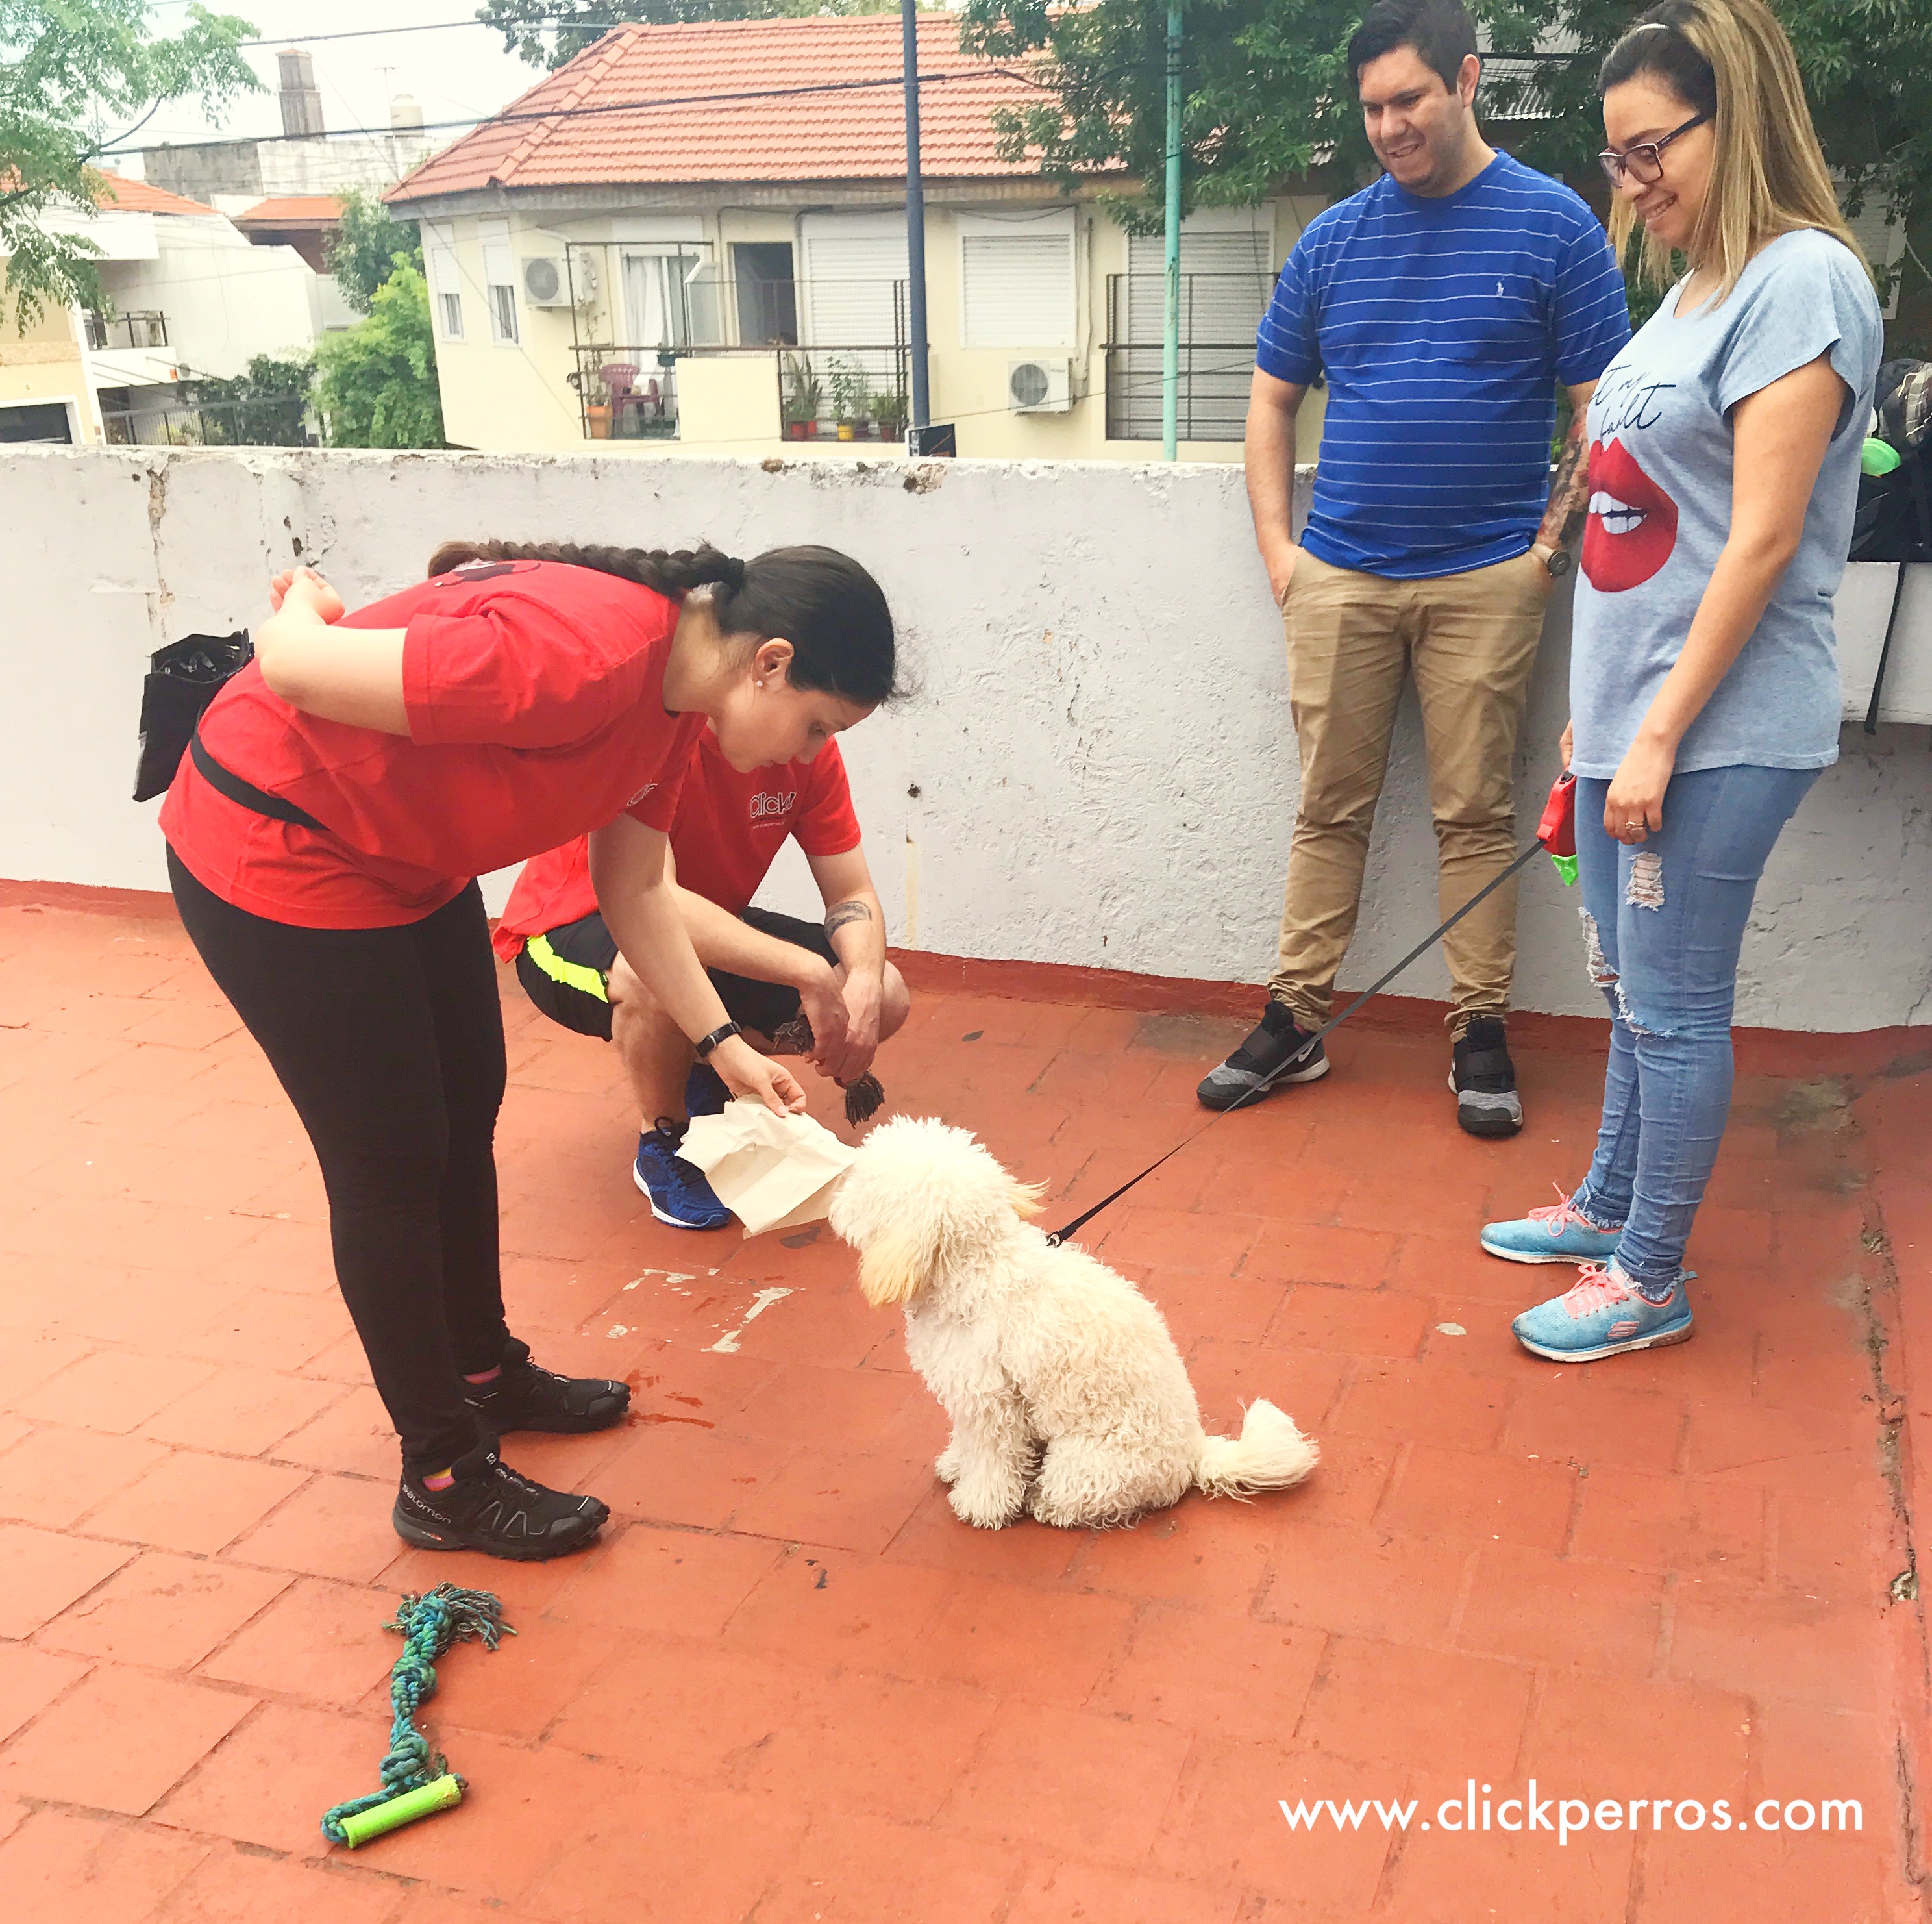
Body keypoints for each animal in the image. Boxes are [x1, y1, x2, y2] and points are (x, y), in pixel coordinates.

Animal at [823, 1112, 1321, 1530]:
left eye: (863, 1186)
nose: (833, 1205)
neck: (979, 1267)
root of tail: (1193, 1451)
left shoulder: (991, 1402)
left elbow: (991, 1461)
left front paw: (980, 1504)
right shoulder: (968, 1399)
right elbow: (966, 1442)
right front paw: (955, 1464)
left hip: (1082, 1465)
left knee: (1078, 1500)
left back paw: (1043, 1502)